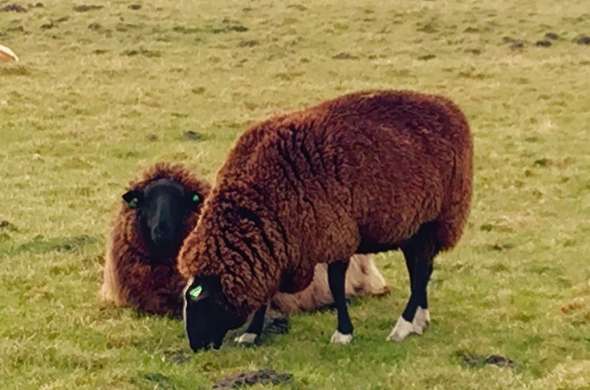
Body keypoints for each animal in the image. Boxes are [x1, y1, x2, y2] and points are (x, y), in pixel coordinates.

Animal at [178, 89, 474, 350]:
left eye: (201, 302)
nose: (196, 346)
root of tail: (447, 106)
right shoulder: (276, 246)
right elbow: (268, 293)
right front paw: (250, 334)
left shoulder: (336, 235)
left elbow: (336, 286)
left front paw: (343, 334)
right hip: (415, 226)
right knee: (420, 270)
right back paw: (419, 321)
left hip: (438, 218)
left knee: (421, 272)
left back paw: (402, 327)